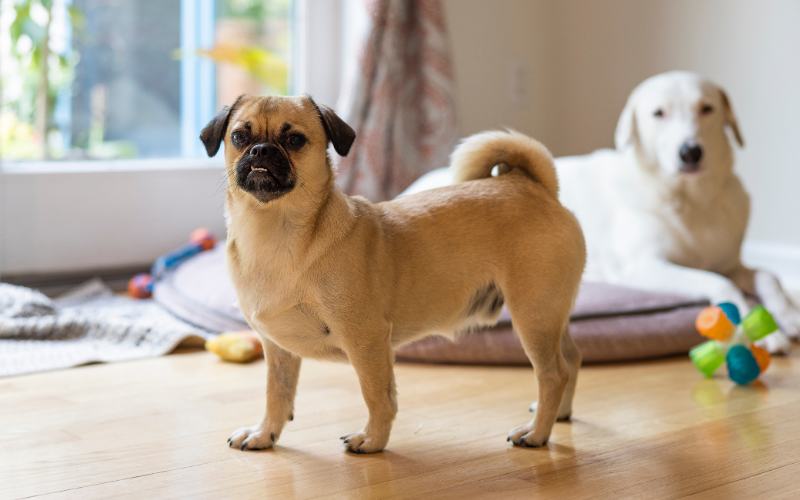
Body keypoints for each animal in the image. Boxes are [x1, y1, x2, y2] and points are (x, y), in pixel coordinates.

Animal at [200, 94, 584, 454]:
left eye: (294, 140)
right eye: (239, 136)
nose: (261, 149)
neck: (274, 229)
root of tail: (533, 188)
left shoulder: (366, 341)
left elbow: (377, 396)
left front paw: (372, 440)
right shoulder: (278, 350)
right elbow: (276, 395)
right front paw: (265, 434)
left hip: (532, 316)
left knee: (553, 373)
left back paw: (536, 433)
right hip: (549, 317)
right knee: (571, 359)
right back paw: (558, 416)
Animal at [410, 71, 800, 352]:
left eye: (707, 108)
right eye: (658, 114)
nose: (690, 152)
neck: (692, 200)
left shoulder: (730, 261)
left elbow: (768, 276)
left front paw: (787, 316)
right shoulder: (645, 266)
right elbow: (719, 283)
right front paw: (759, 332)